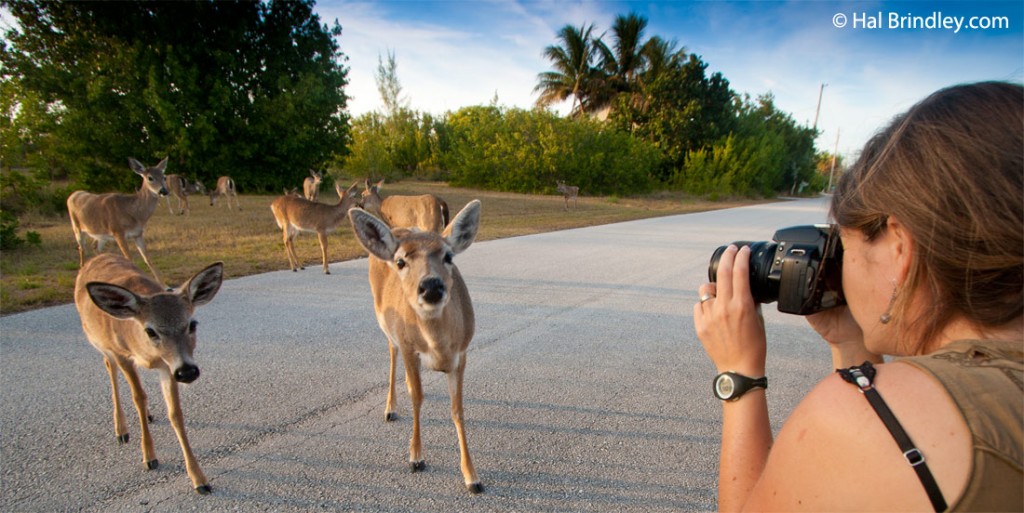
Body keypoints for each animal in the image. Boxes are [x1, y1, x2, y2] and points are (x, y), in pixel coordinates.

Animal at [67, 155, 169, 284]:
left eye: (164, 176)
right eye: (150, 178)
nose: (164, 191)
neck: (133, 212)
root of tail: (72, 195)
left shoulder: (138, 234)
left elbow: (147, 259)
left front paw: (163, 284)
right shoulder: (118, 231)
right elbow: (129, 258)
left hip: (101, 235)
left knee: (95, 247)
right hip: (77, 227)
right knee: (82, 248)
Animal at [73, 251, 224, 491]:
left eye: (192, 324)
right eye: (150, 331)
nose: (187, 372)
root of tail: (98, 256)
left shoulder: (168, 367)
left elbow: (175, 413)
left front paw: (198, 478)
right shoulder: (123, 354)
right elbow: (138, 397)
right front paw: (149, 457)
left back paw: (147, 416)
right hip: (100, 343)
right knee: (110, 368)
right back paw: (121, 430)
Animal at [348, 198, 483, 491]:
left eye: (449, 256)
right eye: (400, 261)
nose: (431, 286)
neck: (439, 346)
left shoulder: (462, 353)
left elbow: (457, 410)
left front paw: (472, 476)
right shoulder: (410, 346)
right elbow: (418, 399)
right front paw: (416, 457)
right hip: (386, 323)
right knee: (392, 353)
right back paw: (390, 409)